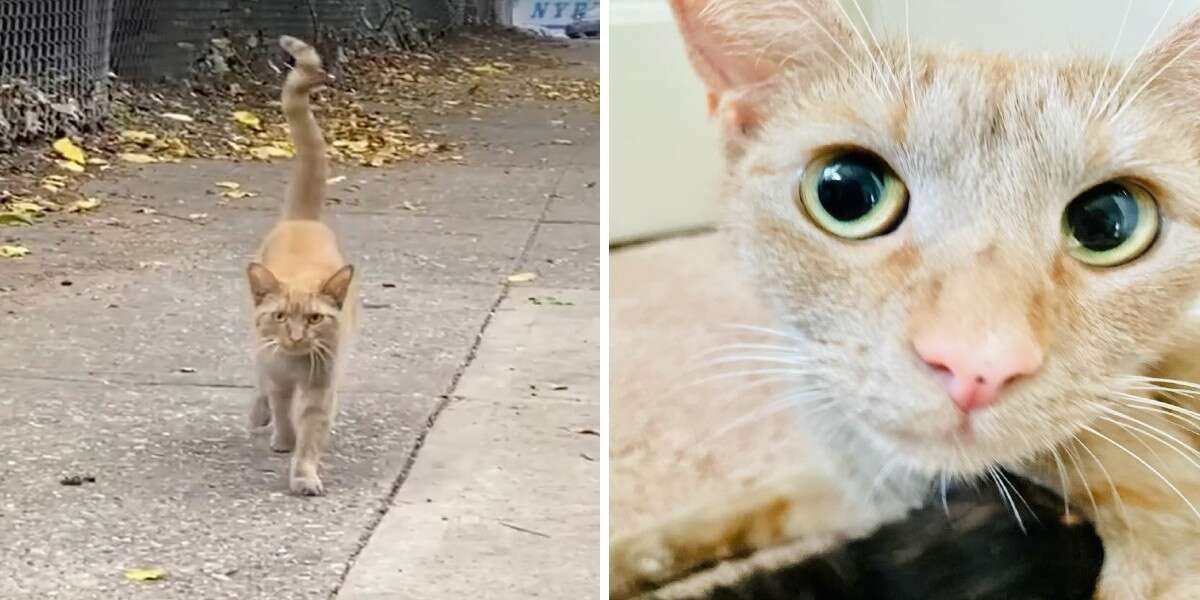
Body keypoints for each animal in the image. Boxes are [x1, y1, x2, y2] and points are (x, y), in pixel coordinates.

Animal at [619, 1, 1200, 600]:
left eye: (1107, 222)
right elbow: (756, 504)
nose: (976, 365)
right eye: (845, 192)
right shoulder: (860, 487)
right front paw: (633, 554)